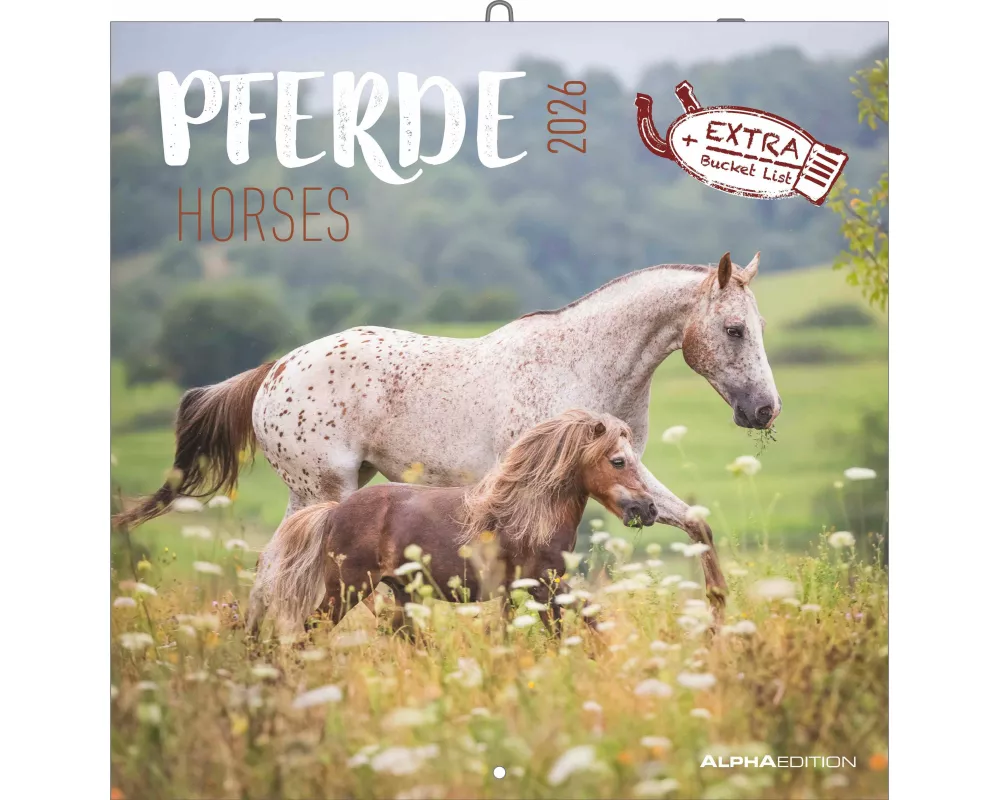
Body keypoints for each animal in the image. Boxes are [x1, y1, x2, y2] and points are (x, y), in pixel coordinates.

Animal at [245, 409, 657, 637]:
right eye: (618, 461)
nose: (649, 509)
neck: (526, 515)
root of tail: (333, 512)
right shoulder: (544, 587)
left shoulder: (533, 589)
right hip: (347, 589)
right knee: (313, 630)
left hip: (402, 592)